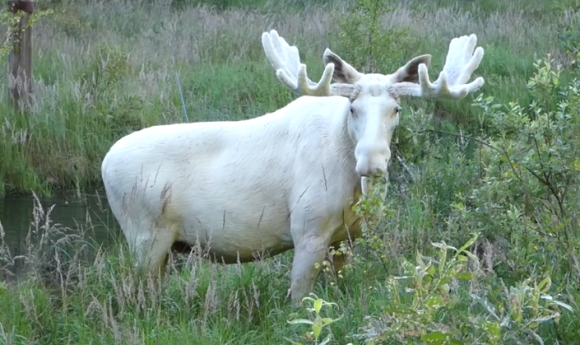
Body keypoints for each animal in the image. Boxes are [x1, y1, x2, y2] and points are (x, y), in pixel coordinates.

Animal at [101, 28, 484, 304]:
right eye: (353, 108)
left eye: (396, 109)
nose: (371, 162)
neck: (352, 189)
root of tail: (104, 164)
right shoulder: (307, 229)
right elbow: (299, 301)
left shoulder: (346, 239)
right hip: (144, 236)